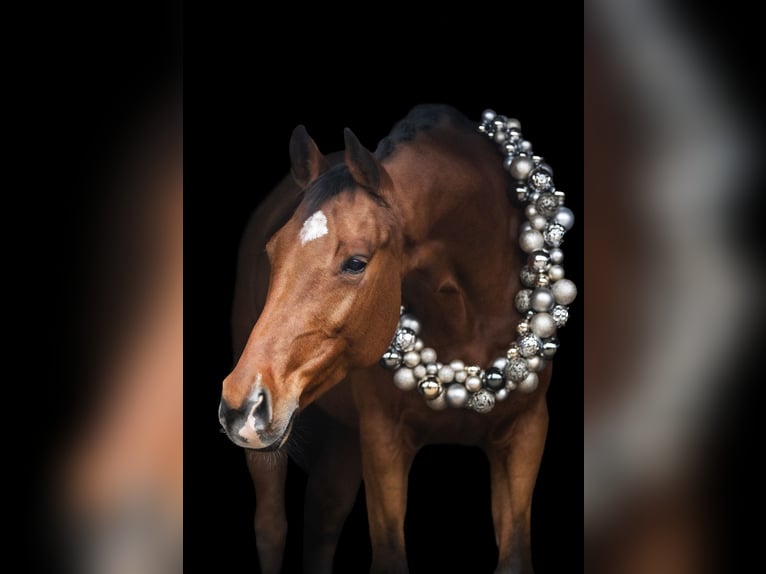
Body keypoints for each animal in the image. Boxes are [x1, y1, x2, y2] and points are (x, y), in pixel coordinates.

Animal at [220, 104, 576, 573]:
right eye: (273, 251)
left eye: (356, 262)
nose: (241, 405)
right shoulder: (383, 440)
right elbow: (389, 555)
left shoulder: (526, 433)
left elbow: (515, 554)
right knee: (272, 527)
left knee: (323, 516)